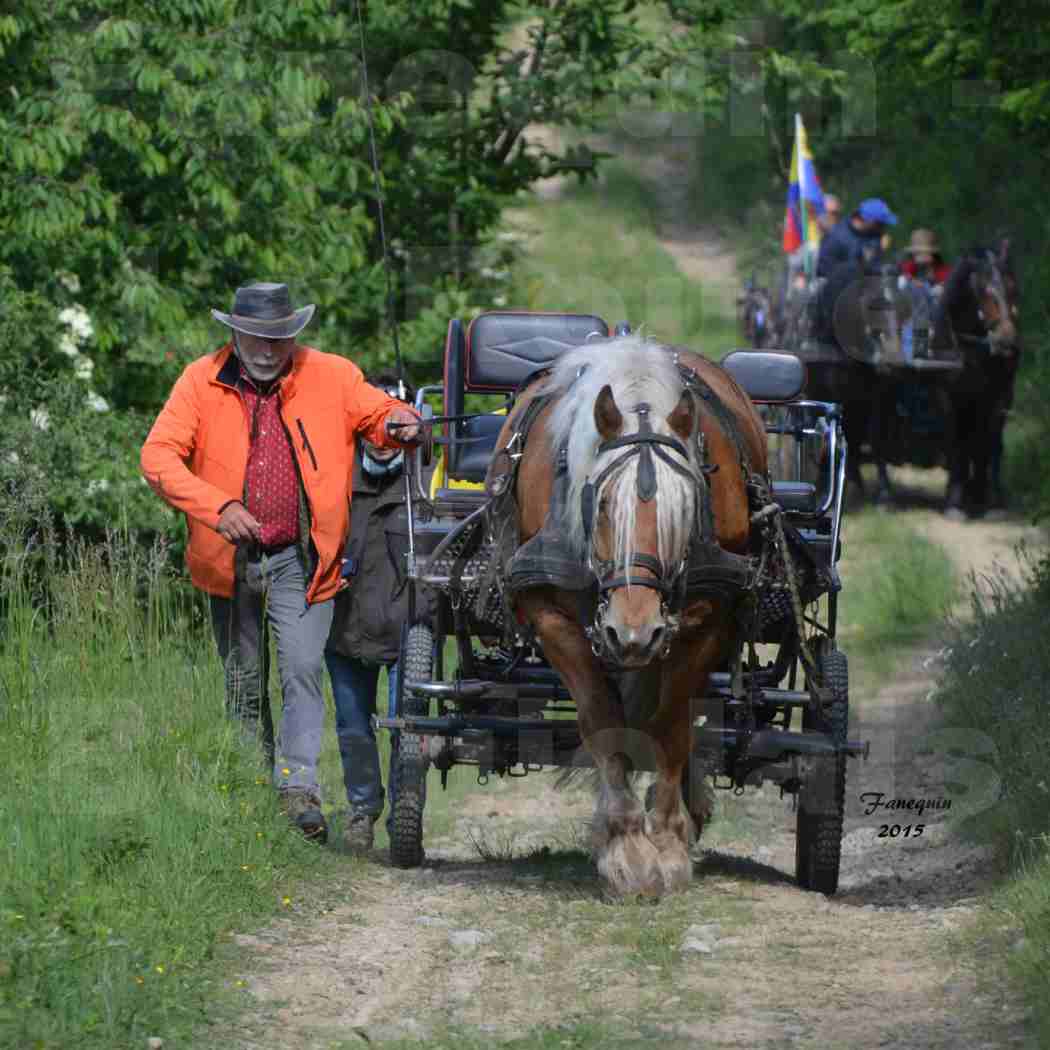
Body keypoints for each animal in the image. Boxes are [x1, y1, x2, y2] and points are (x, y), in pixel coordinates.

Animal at [487, 338, 768, 894]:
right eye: (599, 506)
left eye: (686, 511)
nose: (633, 632)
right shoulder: (553, 616)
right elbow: (603, 719)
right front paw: (624, 847)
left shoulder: (705, 621)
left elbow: (670, 723)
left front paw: (668, 842)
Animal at [936, 239, 1016, 516]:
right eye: (984, 291)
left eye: (1013, 288)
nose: (1006, 340)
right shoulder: (950, 398)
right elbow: (957, 442)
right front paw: (954, 502)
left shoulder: (1000, 397)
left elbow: (989, 443)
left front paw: (991, 500)